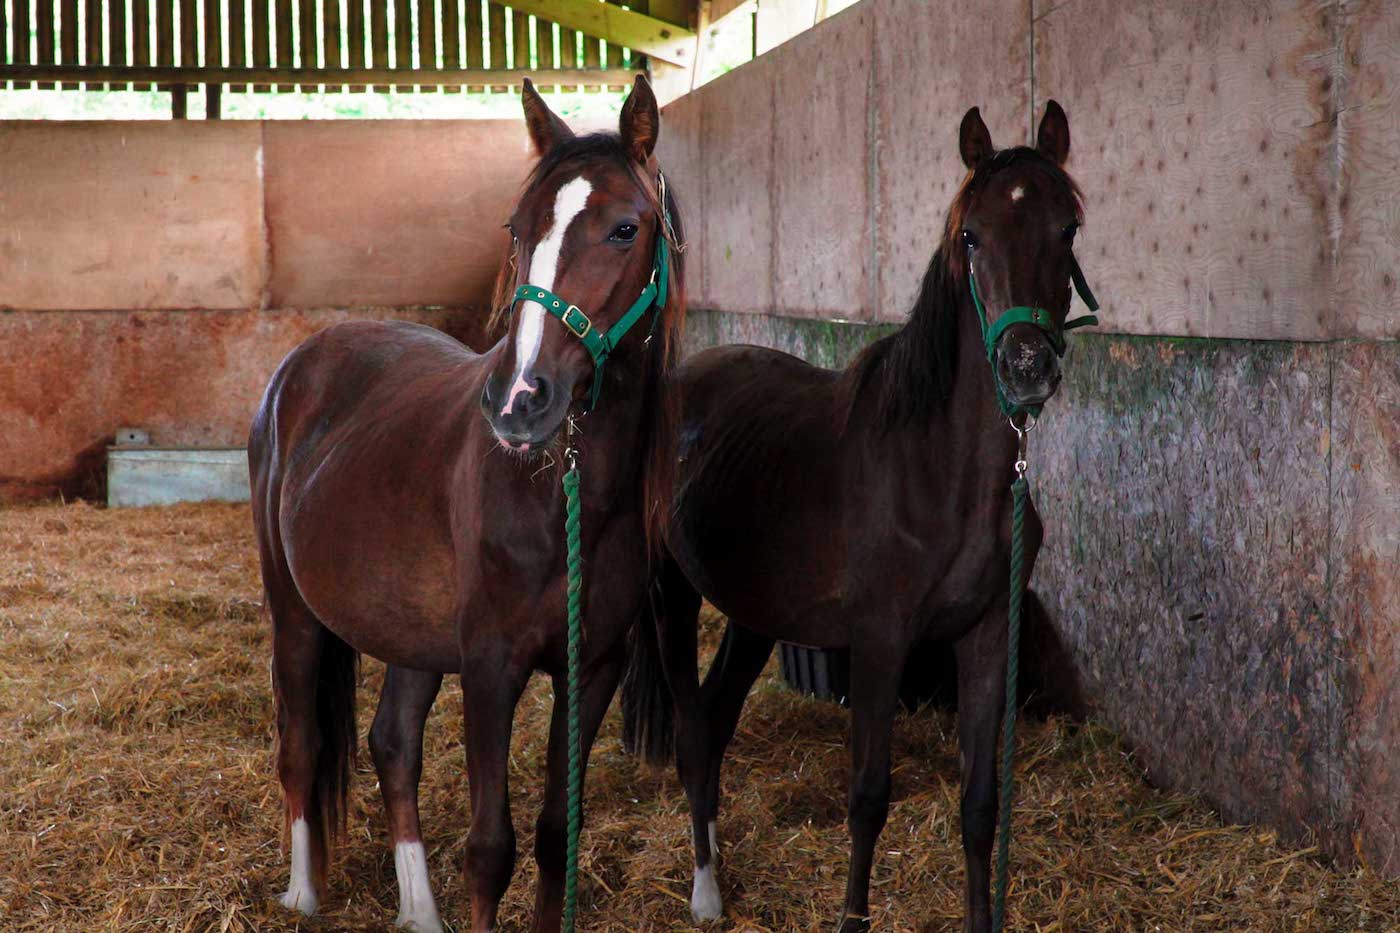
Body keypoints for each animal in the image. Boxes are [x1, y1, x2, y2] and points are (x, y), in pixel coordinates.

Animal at [248, 75, 685, 933]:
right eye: (517, 228)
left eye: (625, 229)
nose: (519, 401)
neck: (563, 494)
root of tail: (300, 365)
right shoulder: (490, 665)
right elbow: (491, 848)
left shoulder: (593, 668)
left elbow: (555, 835)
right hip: (295, 611)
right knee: (302, 742)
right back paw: (302, 892)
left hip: (410, 632)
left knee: (392, 743)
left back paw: (419, 911)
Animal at [623, 101, 1096, 933]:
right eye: (971, 236)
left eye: (1066, 227)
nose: (1027, 366)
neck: (941, 471)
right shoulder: (880, 642)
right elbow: (869, 797)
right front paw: (851, 916)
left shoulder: (987, 636)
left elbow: (980, 804)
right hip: (672, 597)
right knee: (690, 733)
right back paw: (706, 892)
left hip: (754, 616)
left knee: (715, 718)